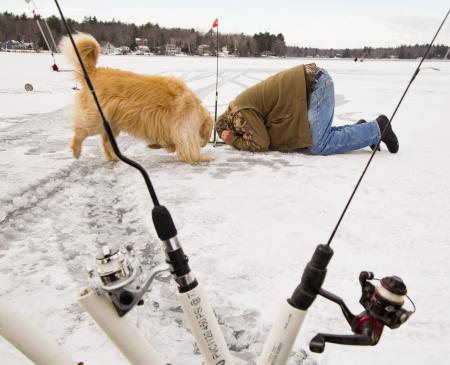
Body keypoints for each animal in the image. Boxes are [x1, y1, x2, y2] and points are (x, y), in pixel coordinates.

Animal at [59, 32, 213, 164]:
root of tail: (93, 72)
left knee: (106, 143)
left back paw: (114, 157)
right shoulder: (185, 130)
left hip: (111, 123)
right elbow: (189, 151)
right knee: (81, 131)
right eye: (207, 136)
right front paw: (206, 157)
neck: (197, 109)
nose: (203, 145)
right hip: (95, 118)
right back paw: (76, 150)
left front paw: (157, 145)